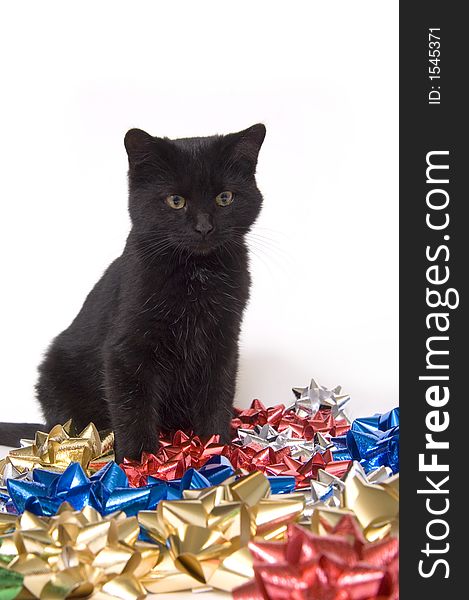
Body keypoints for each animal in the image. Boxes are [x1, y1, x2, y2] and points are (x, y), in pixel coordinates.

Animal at [0, 122, 264, 460]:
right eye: (175, 201)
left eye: (225, 198)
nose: (204, 227)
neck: (196, 274)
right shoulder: (126, 350)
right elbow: (133, 406)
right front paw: (140, 461)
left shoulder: (223, 341)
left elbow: (217, 394)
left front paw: (217, 447)